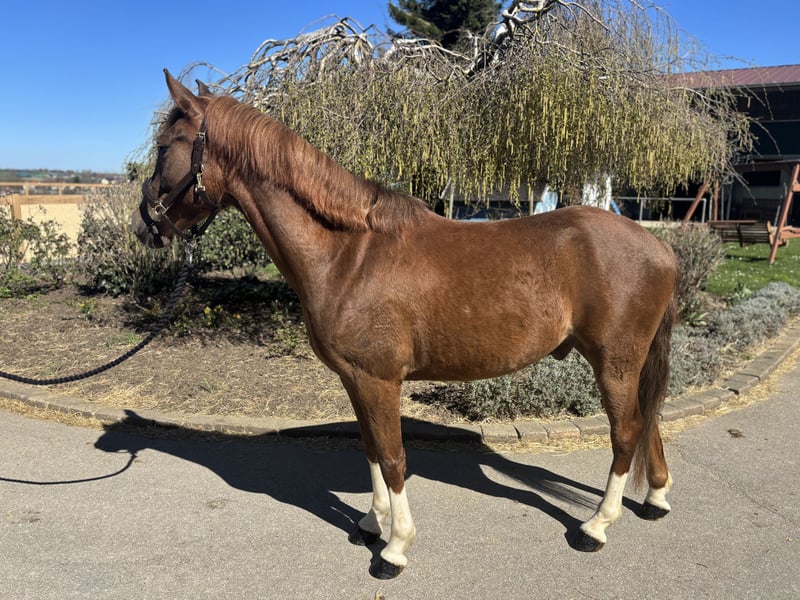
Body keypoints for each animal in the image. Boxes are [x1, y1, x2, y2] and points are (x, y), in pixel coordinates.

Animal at [132, 70, 680, 579]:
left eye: (164, 147)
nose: (143, 225)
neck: (349, 255)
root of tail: (661, 247)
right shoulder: (355, 379)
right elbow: (372, 450)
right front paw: (371, 524)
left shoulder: (379, 380)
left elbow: (394, 458)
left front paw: (394, 548)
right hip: (628, 363)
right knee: (647, 420)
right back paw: (654, 500)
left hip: (614, 362)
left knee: (626, 431)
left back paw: (596, 526)